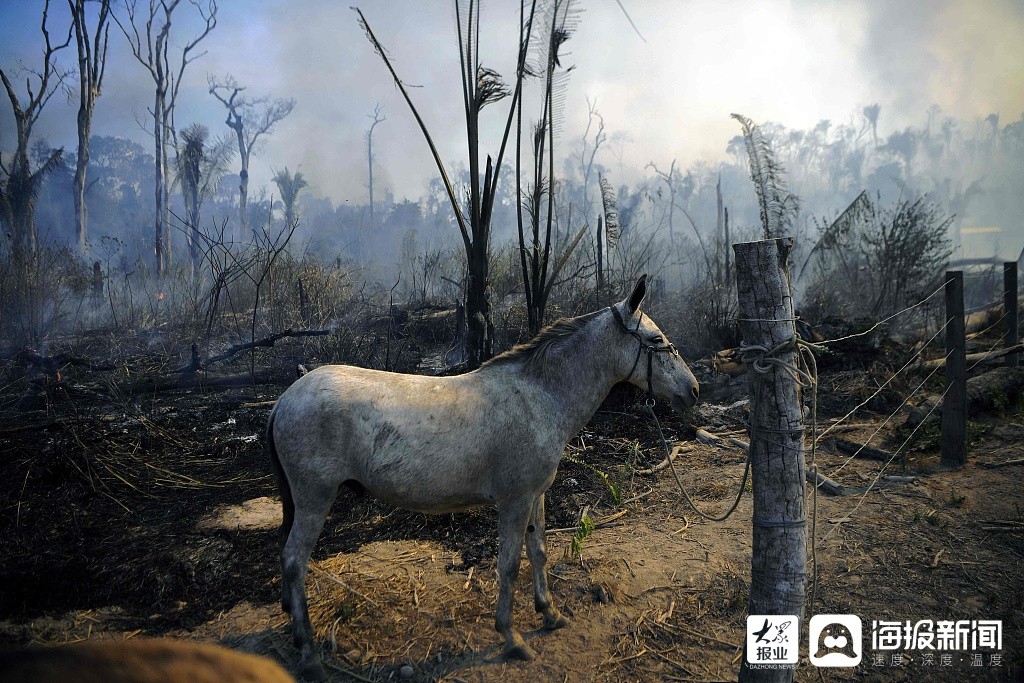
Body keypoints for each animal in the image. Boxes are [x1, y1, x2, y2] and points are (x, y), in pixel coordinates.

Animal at [268, 276, 700, 679]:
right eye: (656, 339)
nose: (693, 390)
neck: (538, 397)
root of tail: (286, 398)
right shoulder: (515, 500)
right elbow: (509, 565)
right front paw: (511, 637)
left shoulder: (536, 495)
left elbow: (538, 552)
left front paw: (549, 613)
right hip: (315, 497)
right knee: (293, 560)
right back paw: (308, 654)